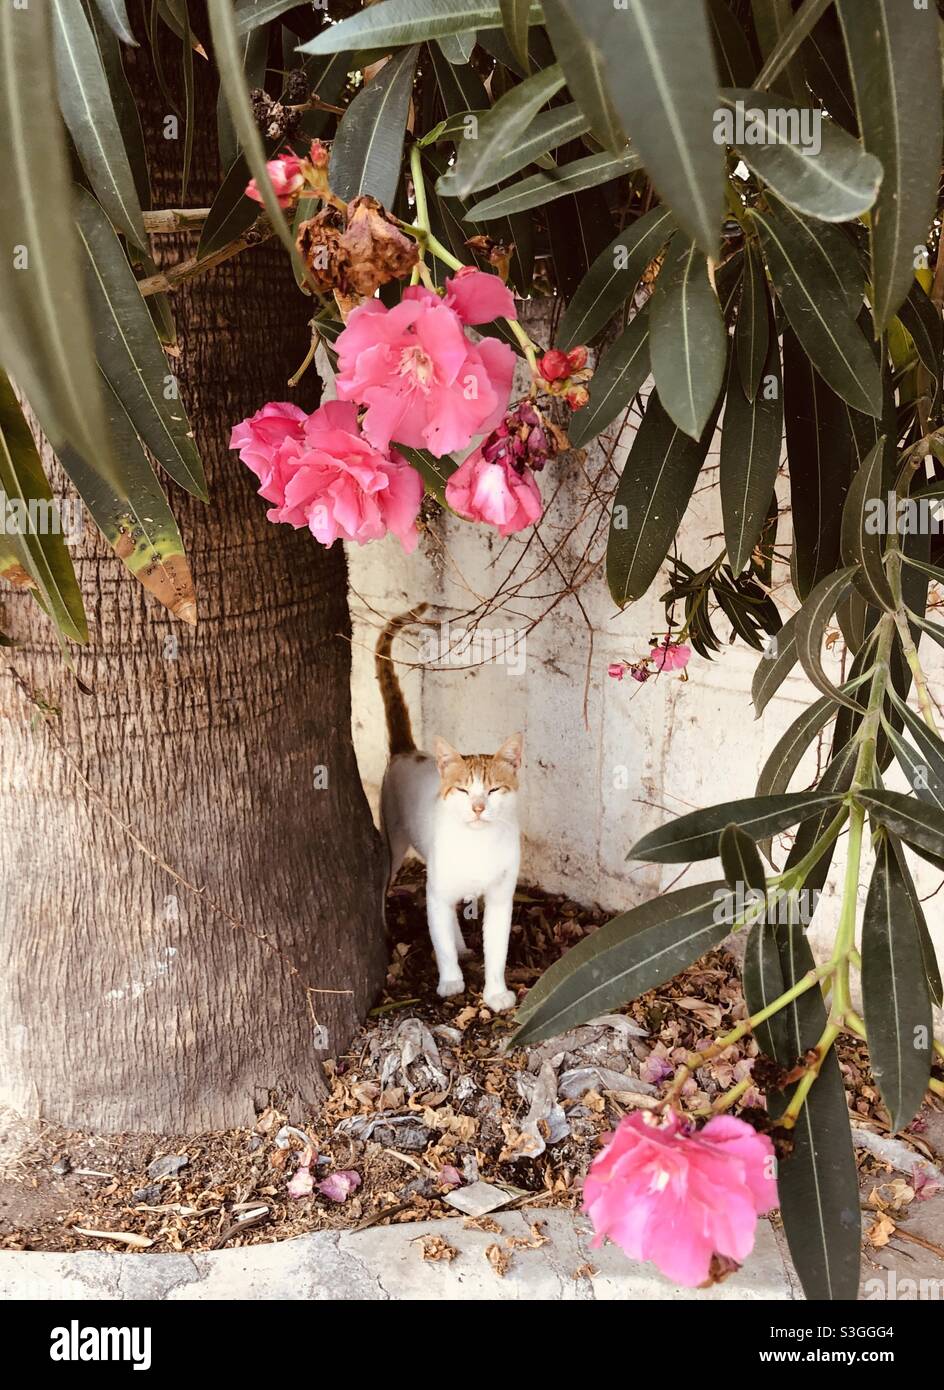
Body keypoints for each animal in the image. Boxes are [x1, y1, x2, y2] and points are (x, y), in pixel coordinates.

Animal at [375, 606, 525, 1011]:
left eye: (493, 789)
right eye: (462, 789)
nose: (477, 806)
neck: (477, 845)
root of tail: (407, 751)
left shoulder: (501, 896)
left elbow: (497, 948)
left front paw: (495, 993)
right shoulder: (435, 891)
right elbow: (439, 939)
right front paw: (450, 981)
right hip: (394, 844)